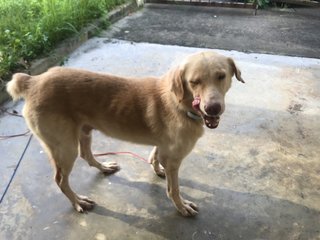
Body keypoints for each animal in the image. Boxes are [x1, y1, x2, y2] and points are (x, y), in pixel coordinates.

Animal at [6, 51, 244, 217]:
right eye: (194, 82)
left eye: (221, 76)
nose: (213, 108)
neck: (180, 103)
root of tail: (34, 80)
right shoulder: (174, 159)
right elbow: (173, 189)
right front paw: (181, 206)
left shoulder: (164, 148)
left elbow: (155, 155)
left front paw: (156, 169)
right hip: (65, 148)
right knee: (59, 180)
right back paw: (77, 201)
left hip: (84, 133)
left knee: (87, 156)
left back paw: (104, 167)